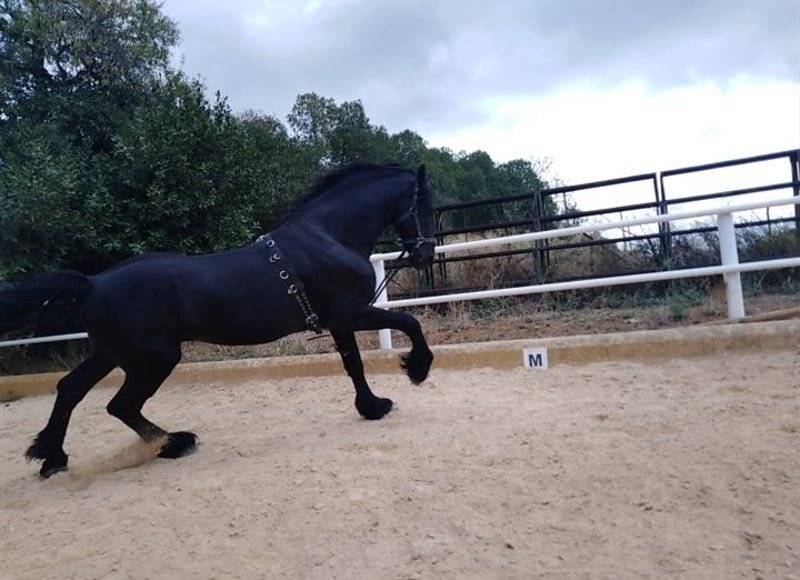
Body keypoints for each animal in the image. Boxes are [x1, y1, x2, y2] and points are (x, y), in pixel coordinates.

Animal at [0, 164, 437, 478]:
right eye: (426, 207)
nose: (425, 254)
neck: (327, 238)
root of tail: (92, 282)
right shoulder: (352, 312)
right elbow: (408, 324)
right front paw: (416, 370)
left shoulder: (339, 321)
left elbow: (354, 365)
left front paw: (372, 406)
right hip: (154, 359)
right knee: (120, 404)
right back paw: (174, 443)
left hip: (112, 353)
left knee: (70, 389)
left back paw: (52, 457)